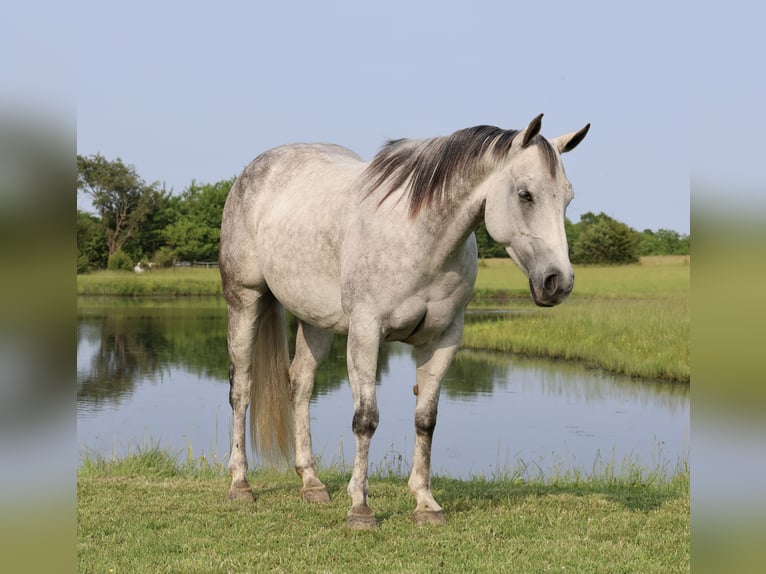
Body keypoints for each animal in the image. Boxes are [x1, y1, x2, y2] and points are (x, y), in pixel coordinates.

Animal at [219, 114, 589, 529]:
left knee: (300, 385)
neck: (421, 239)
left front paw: (426, 504)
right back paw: (240, 484)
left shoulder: (442, 339)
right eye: (525, 194)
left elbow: (425, 420)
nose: (558, 282)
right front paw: (360, 509)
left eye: (567, 197)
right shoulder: (366, 332)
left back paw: (312, 483)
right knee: (241, 388)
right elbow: (365, 419)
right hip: (244, 300)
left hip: (316, 320)